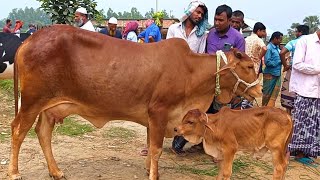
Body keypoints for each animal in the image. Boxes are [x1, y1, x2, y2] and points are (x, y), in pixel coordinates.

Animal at [8, 24, 262, 179]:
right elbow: (157, 149)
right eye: (249, 66)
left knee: (43, 133)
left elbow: (150, 146)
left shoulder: (153, 118)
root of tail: (28, 41)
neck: (191, 70)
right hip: (31, 102)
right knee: (18, 131)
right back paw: (14, 172)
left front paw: (149, 169)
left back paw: (56, 171)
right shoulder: (159, 111)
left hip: (48, 107)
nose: (259, 90)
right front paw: (154, 174)